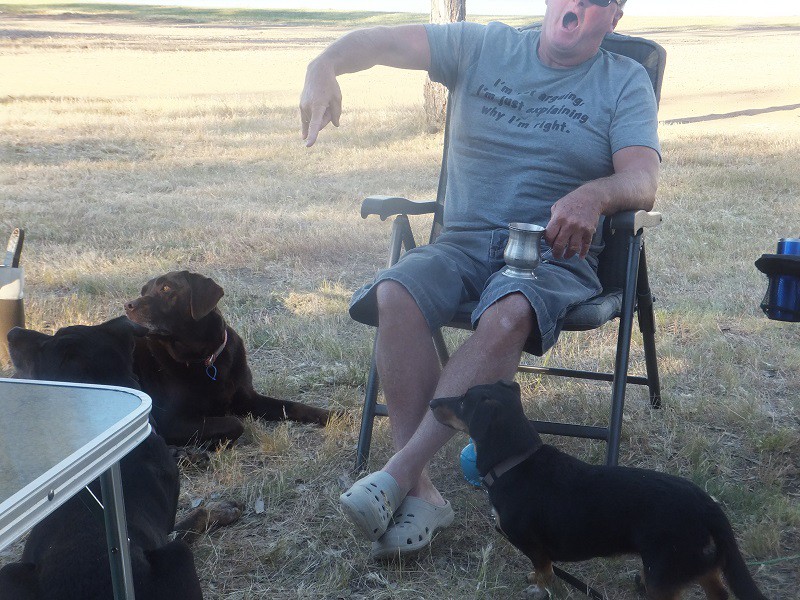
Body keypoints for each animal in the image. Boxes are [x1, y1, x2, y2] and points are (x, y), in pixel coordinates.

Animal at [0, 316, 241, 600]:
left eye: (47, 342)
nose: (11, 332)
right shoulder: (167, 532)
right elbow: (189, 522)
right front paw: (220, 510)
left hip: (8, 572)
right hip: (178, 556)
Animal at [124, 270, 332, 446]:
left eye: (166, 288)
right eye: (143, 291)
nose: (128, 306)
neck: (205, 360)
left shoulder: (248, 399)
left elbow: (292, 406)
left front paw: (330, 414)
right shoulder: (170, 422)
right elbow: (234, 423)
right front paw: (212, 444)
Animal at [430, 381, 768, 600]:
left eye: (463, 401)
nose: (432, 402)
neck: (516, 461)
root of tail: (708, 505)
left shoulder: (532, 545)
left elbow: (545, 571)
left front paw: (540, 588)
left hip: (663, 576)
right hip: (698, 565)